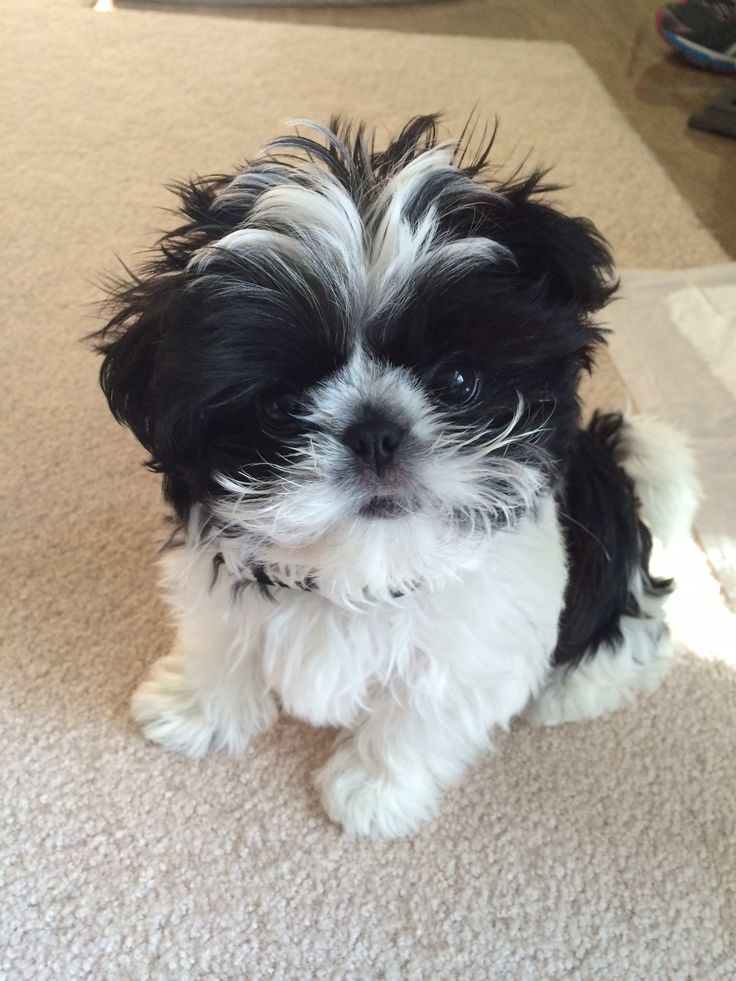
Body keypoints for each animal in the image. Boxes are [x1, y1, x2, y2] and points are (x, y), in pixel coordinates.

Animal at [95, 115, 700, 836]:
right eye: (280, 406)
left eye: (460, 381)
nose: (375, 431)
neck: (365, 567)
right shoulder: (219, 591)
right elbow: (222, 645)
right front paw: (195, 710)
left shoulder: (469, 652)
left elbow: (418, 719)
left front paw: (374, 792)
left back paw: (575, 689)